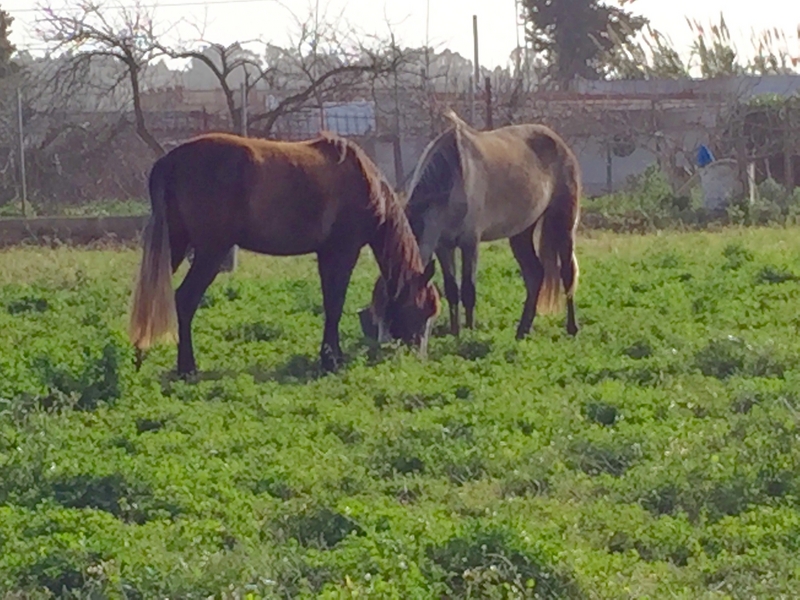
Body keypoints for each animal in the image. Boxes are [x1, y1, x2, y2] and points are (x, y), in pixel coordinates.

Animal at [128, 131, 440, 377]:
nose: (418, 356)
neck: (366, 183)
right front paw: (331, 360)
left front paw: (330, 356)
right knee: (184, 300)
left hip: (177, 245)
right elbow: (335, 303)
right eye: (423, 309)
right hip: (209, 252)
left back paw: (138, 355)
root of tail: (169, 161)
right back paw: (187, 367)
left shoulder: (326, 254)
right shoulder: (343, 251)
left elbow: (330, 303)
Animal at [359, 110, 581, 342]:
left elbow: (468, 289)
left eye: (399, 307)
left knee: (566, 273)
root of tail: (558, 142)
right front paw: (456, 332)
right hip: (521, 232)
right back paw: (522, 330)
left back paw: (572, 328)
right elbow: (452, 290)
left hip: (563, 222)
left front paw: (470, 331)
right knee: (535, 275)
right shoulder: (443, 246)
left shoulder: (470, 243)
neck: (453, 178)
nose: (385, 346)